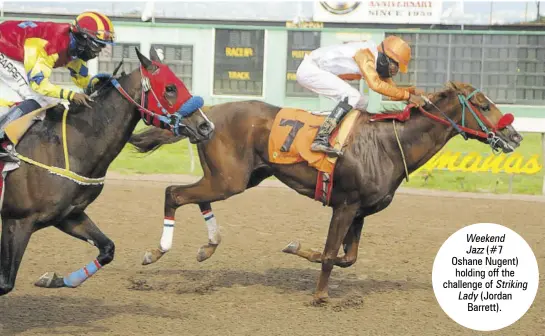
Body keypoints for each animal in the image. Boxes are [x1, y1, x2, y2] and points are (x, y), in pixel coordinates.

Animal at [0, 48, 215, 296]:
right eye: (170, 88)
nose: (206, 126)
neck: (67, 146)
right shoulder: (17, 220)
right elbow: (5, 284)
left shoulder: (68, 215)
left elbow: (107, 249)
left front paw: (52, 279)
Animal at [129, 82, 524, 304]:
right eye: (484, 105)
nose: (515, 136)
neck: (387, 145)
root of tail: (207, 114)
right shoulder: (345, 205)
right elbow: (334, 255)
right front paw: (319, 295)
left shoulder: (360, 212)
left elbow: (347, 257)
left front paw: (298, 249)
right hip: (230, 179)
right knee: (173, 193)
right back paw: (154, 252)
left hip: (235, 177)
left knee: (194, 197)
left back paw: (207, 246)